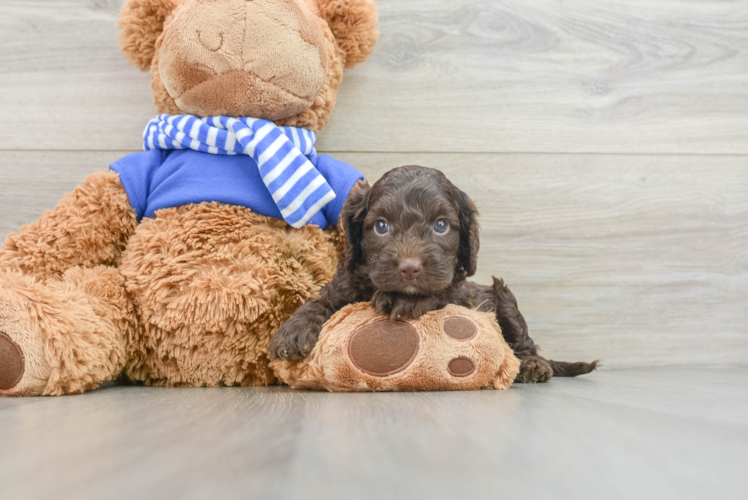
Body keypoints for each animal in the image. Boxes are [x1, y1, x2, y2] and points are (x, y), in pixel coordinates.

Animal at [268, 166, 596, 380]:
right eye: (381, 226)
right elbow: (321, 300)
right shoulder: (346, 282)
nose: (410, 267)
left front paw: (406, 300)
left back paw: (532, 365)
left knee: (525, 342)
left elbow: (441, 292)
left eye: (441, 225)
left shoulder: (461, 295)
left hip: (504, 297)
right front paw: (292, 331)